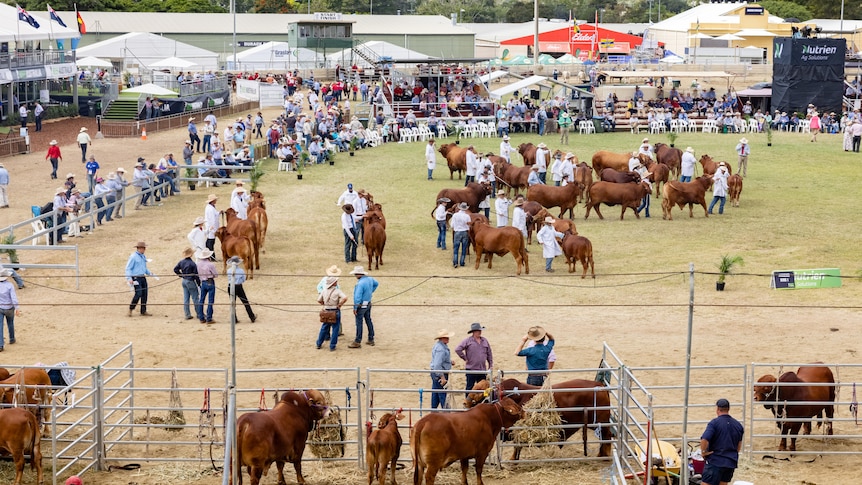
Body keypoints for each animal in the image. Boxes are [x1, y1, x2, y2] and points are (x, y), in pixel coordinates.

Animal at [466, 378, 616, 458]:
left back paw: (603, 456)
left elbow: (516, 446)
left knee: (606, 437)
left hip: (600, 423)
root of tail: (599, 385)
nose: (465, 403)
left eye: (476, 395)